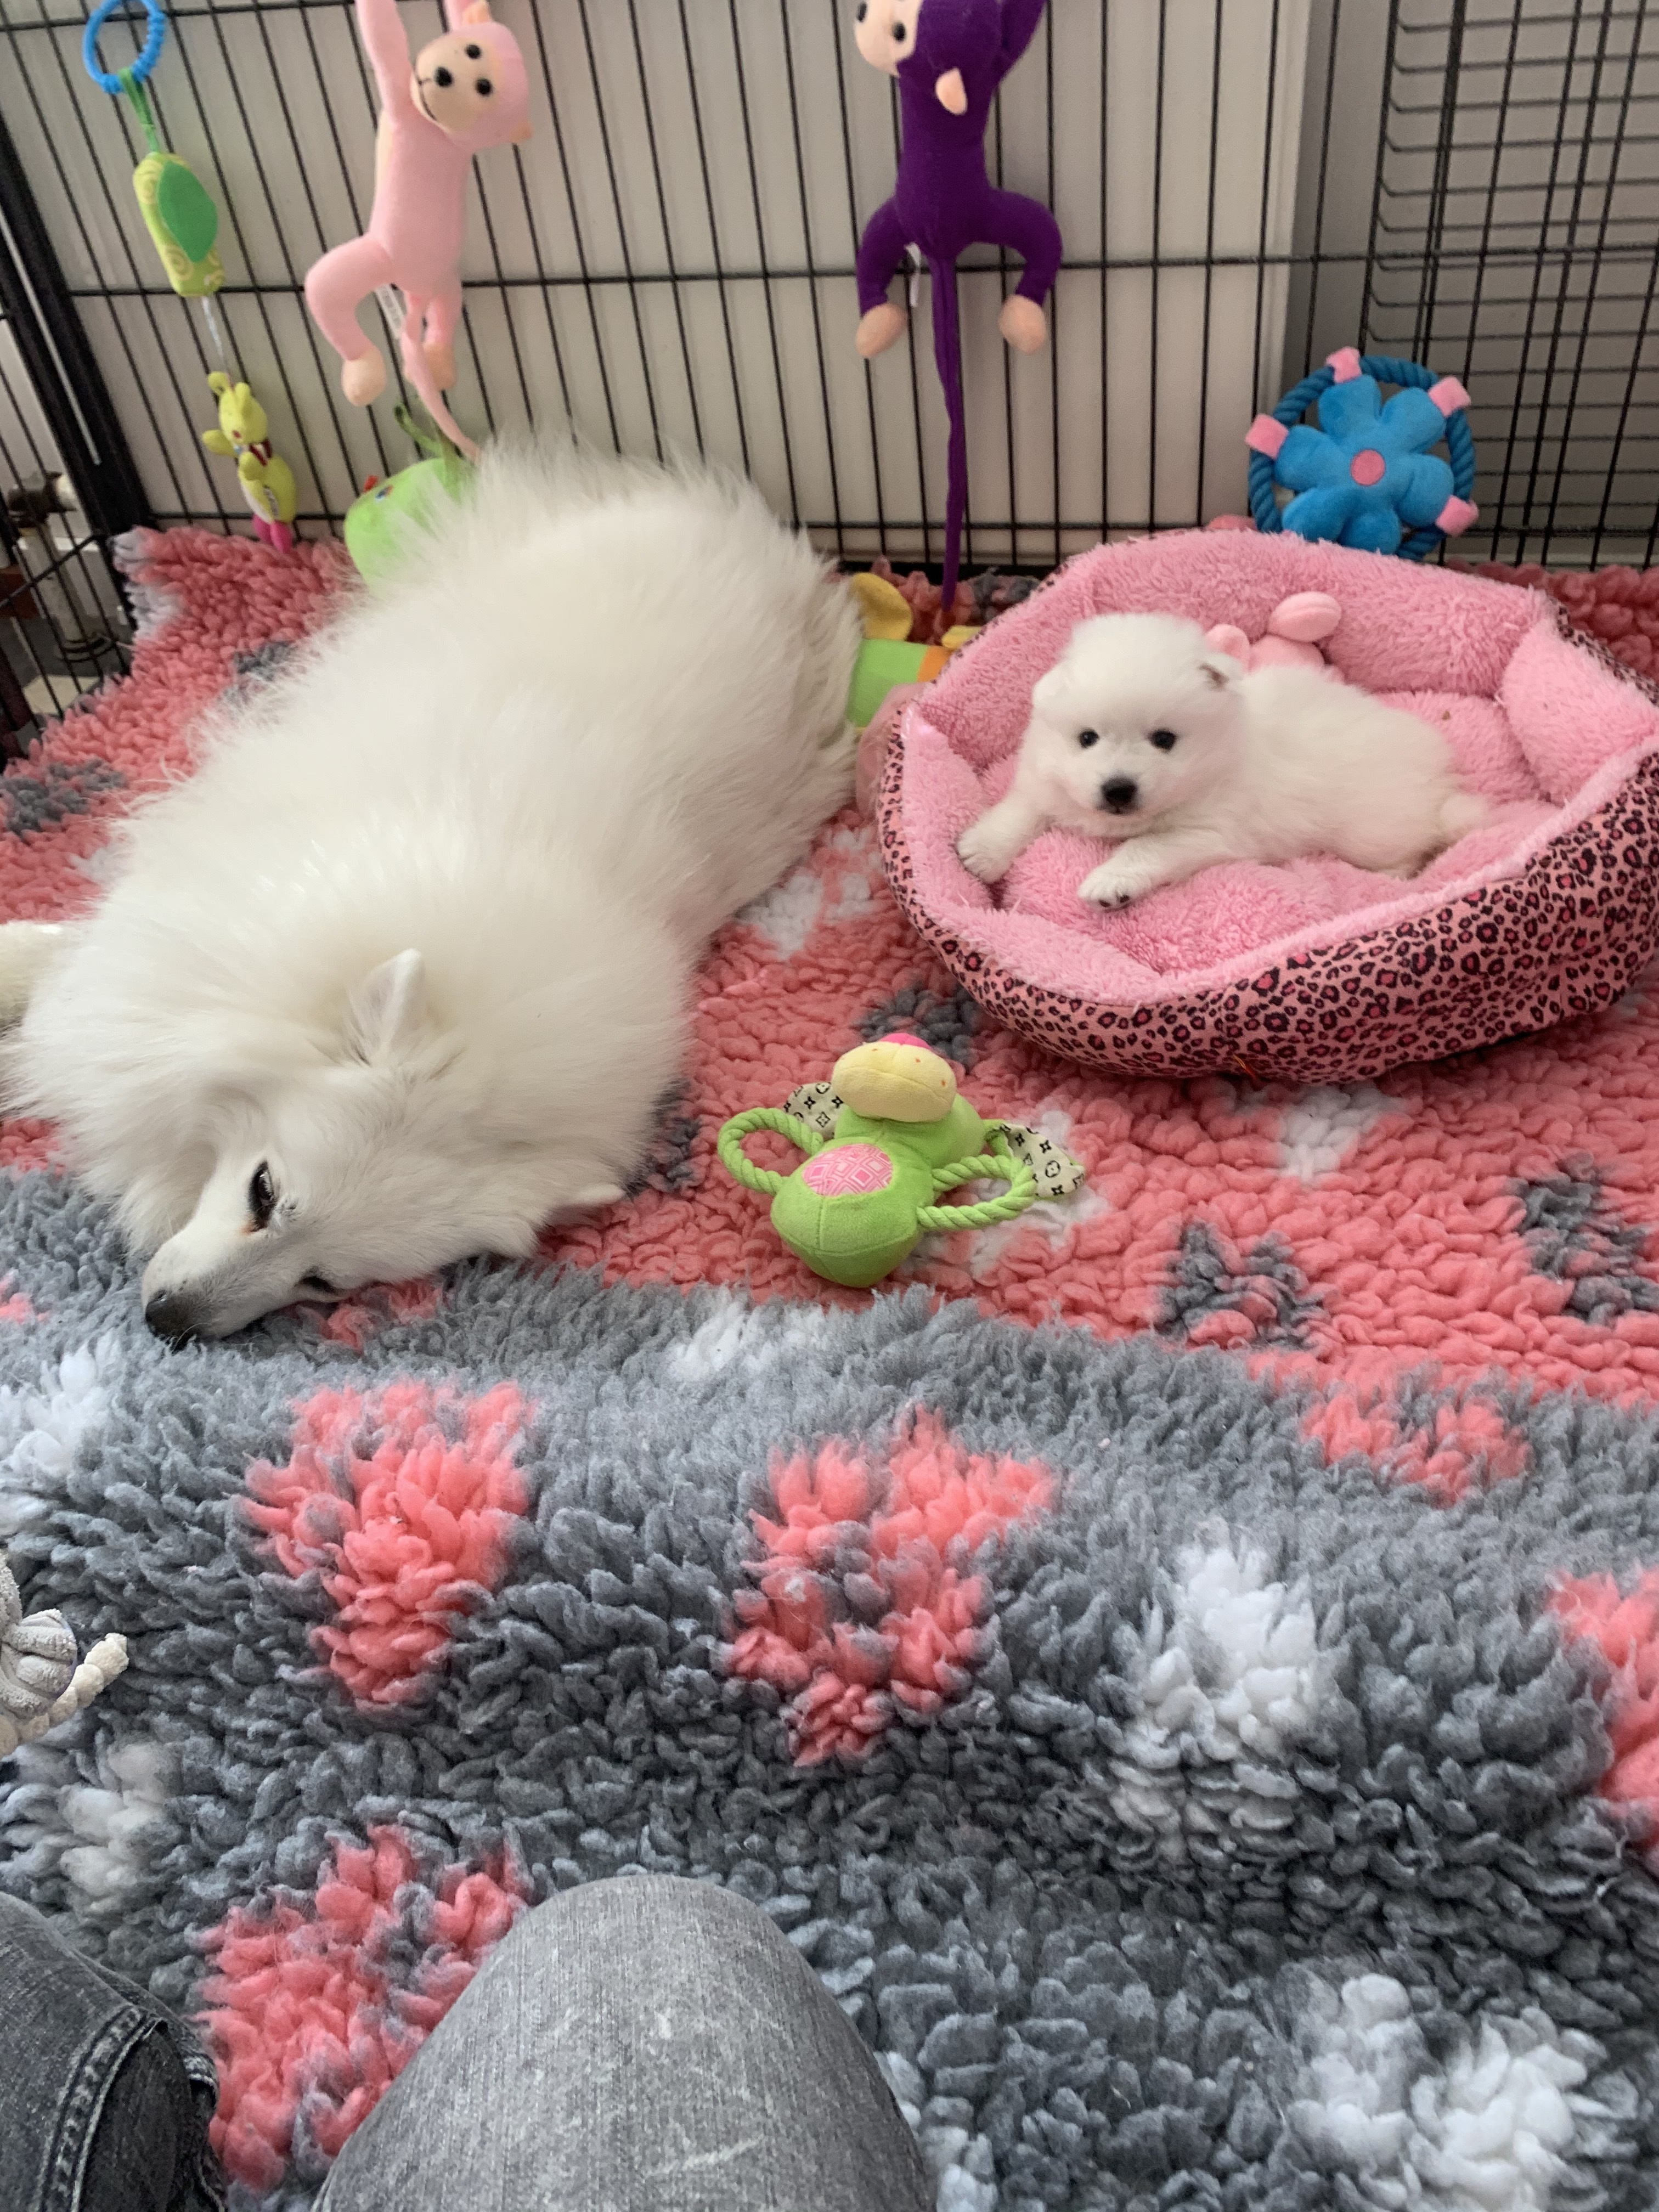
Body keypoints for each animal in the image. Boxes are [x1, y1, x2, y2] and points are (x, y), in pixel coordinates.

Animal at [957, 610, 1487, 909]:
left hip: (1371, 829)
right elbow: (1022, 808)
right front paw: (980, 851)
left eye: (1164, 739)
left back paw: (1391, 875)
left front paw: (1110, 882)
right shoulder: (1050, 780)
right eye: (1087, 738)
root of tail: (1440, 781)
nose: (1118, 789)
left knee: (1409, 848)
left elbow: (1147, 847)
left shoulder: (1209, 833)